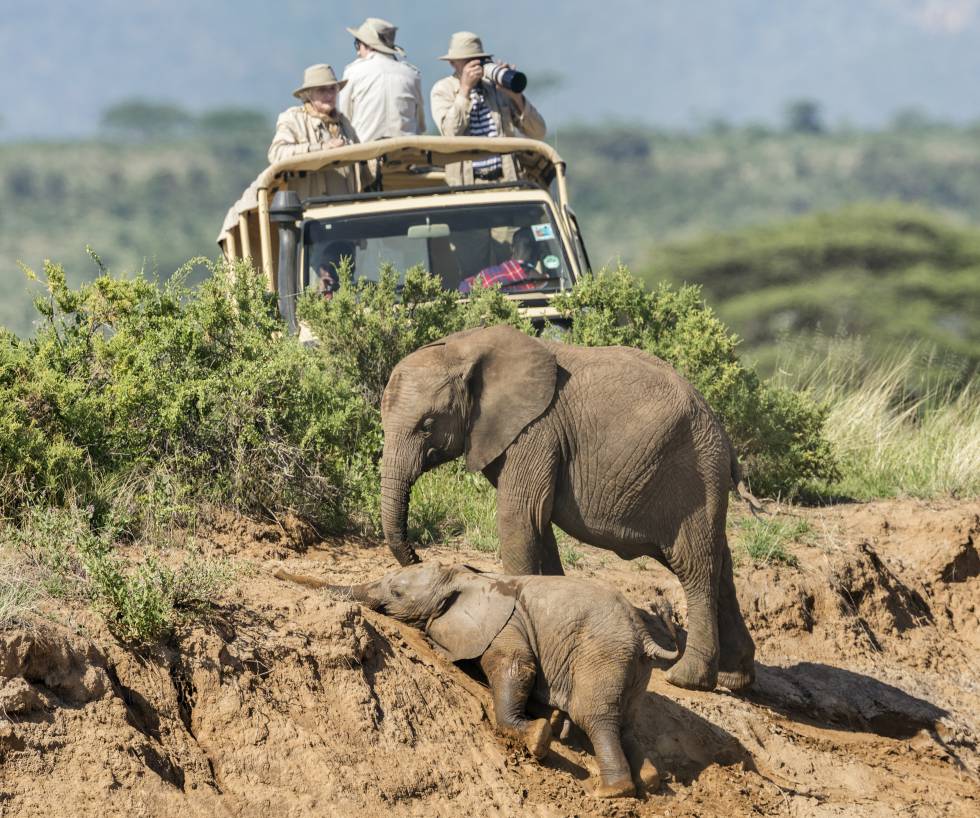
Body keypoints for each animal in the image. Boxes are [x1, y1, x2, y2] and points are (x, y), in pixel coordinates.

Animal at [280, 560, 676, 796]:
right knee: (626, 724)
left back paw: (612, 791)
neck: (466, 576)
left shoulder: (503, 623)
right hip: (634, 669)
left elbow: (517, 663)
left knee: (596, 717)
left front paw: (538, 736)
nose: (278, 575)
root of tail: (644, 634)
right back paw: (650, 779)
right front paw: (548, 722)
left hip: (603, 654)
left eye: (396, 592)